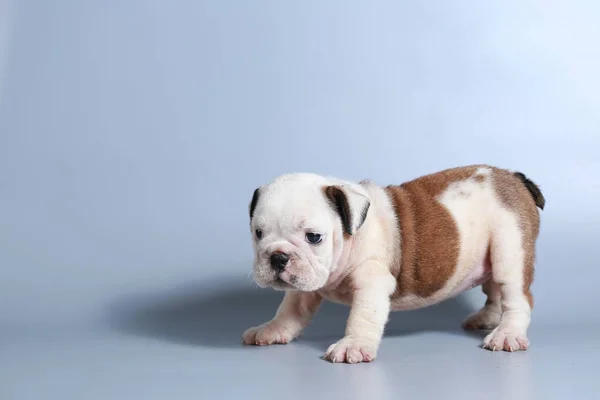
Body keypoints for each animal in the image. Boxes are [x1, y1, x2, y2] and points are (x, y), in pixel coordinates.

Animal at [241, 164, 548, 364]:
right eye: (258, 234)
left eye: (314, 237)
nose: (278, 257)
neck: (352, 233)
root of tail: (515, 178)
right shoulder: (303, 287)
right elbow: (290, 311)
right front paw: (272, 329)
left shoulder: (372, 283)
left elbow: (361, 317)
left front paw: (353, 345)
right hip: (492, 257)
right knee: (495, 292)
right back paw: (487, 319)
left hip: (510, 250)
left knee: (516, 297)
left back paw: (507, 334)